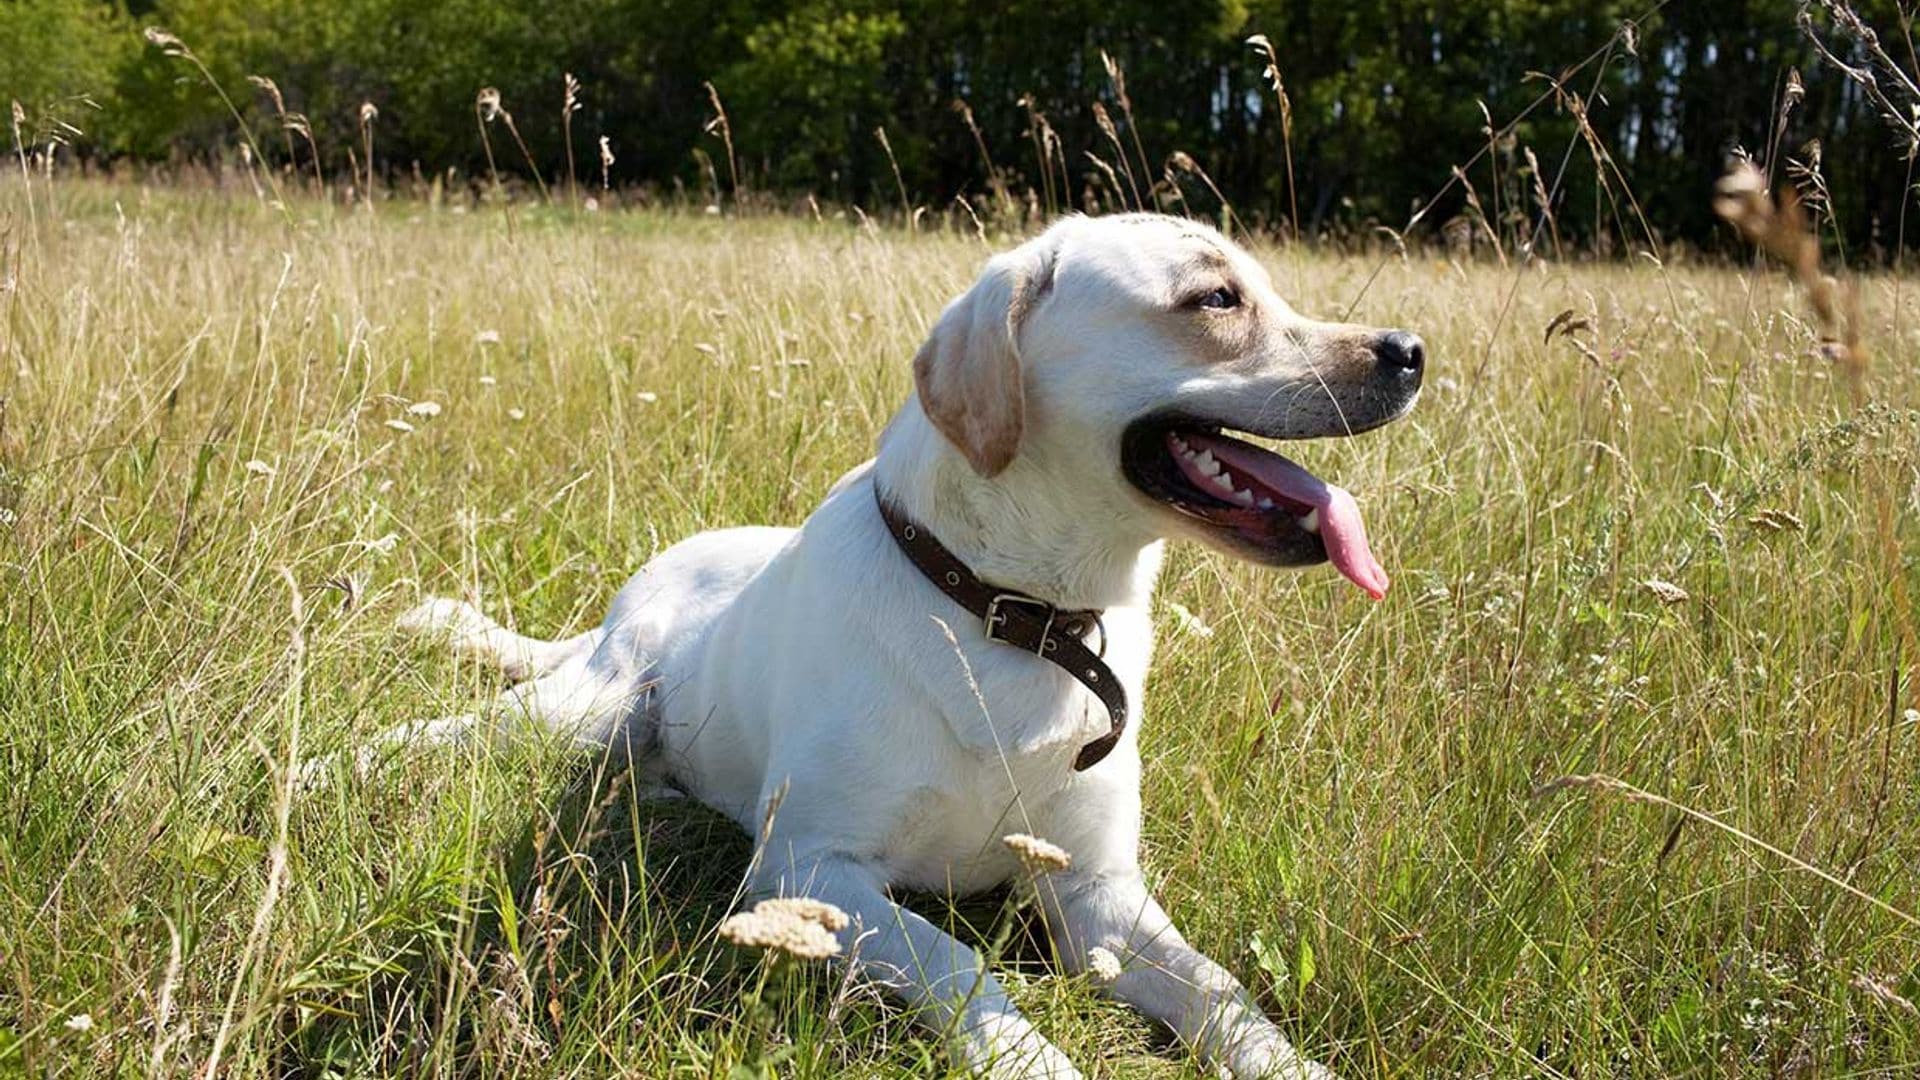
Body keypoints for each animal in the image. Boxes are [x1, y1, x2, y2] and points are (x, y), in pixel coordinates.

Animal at [382, 214, 1420, 1068]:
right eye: (1215, 298)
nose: (1409, 350)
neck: (1015, 615)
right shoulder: (809, 867)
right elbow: (961, 962)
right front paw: (1030, 1059)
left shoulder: (1099, 890)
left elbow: (1225, 996)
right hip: (584, 711)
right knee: (449, 735)